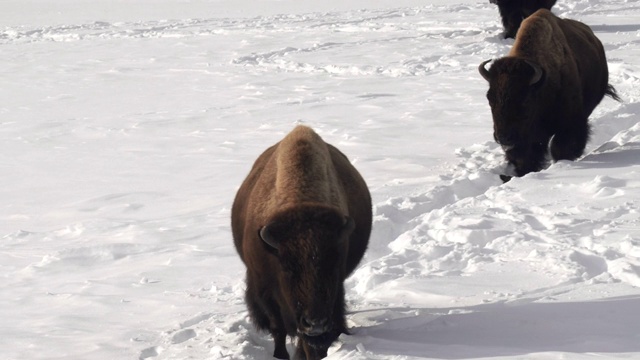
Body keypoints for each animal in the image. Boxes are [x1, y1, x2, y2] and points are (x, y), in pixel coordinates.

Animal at [231, 125, 372, 358]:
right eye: (288, 268)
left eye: (332, 265)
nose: (315, 324)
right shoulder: (266, 289)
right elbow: (278, 328)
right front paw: (280, 355)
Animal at [480, 9, 620, 181]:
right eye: (489, 98)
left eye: (525, 100)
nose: (503, 138)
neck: (542, 84)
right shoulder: (527, 137)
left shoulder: (569, 123)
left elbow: (560, 147)